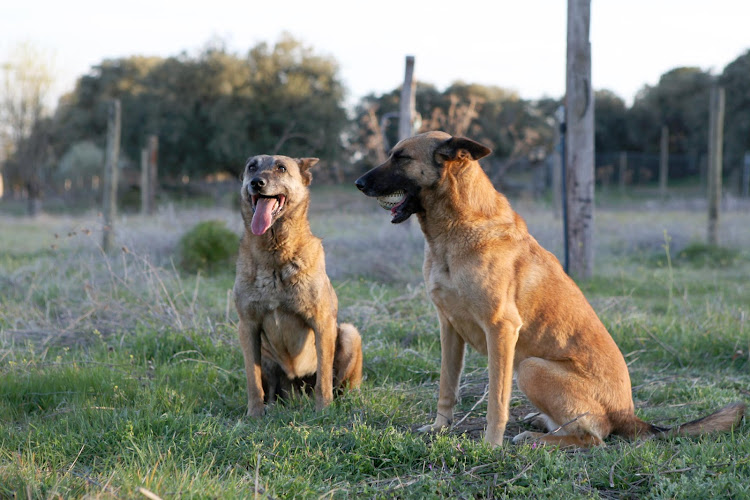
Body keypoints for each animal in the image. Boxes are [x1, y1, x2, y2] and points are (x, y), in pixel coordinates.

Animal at [235, 153, 364, 418]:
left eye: (281, 168)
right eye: (251, 167)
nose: (256, 183)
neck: (274, 256)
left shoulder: (322, 323)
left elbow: (324, 378)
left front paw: (323, 411)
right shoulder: (247, 326)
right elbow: (253, 380)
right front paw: (254, 414)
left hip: (349, 334)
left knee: (343, 384)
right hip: (266, 355)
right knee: (270, 389)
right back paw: (271, 405)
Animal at [356, 131, 748, 448]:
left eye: (401, 157)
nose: (358, 184)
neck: (454, 231)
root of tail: (628, 414)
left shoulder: (501, 330)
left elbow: (496, 401)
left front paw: (490, 445)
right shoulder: (449, 328)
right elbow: (446, 387)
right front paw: (440, 428)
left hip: (530, 367)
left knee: (594, 437)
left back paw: (538, 439)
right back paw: (540, 423)